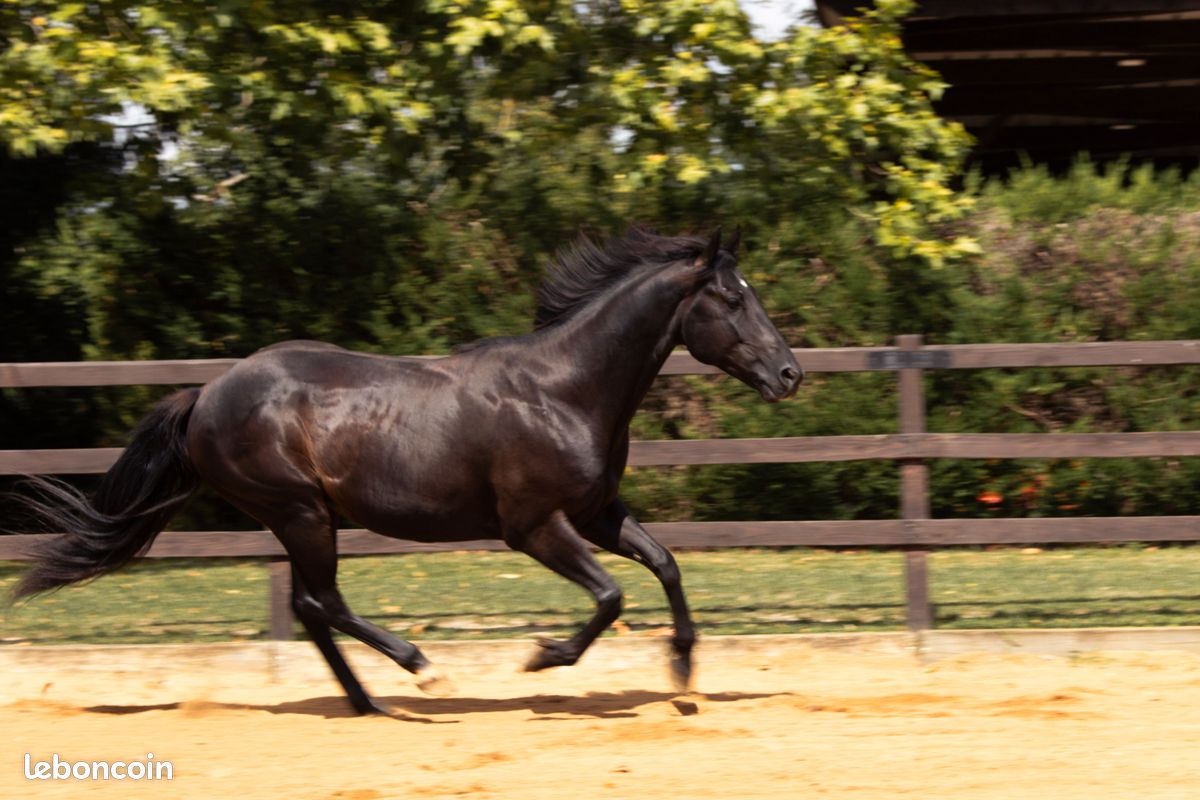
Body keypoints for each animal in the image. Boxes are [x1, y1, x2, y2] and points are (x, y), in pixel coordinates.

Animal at [11, 225, 803, 714]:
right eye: (732, 299)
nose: (790, 374)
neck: (564, 390)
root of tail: (204, 395)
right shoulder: (533, 526)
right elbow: (610, 596)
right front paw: (541, 658)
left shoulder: (596, 512)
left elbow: (665, 564)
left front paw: (683, 675)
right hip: (299, 511)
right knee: (324, 602)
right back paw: (421, 672)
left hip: (303, 518)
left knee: (310, 607)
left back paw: (369, 703)